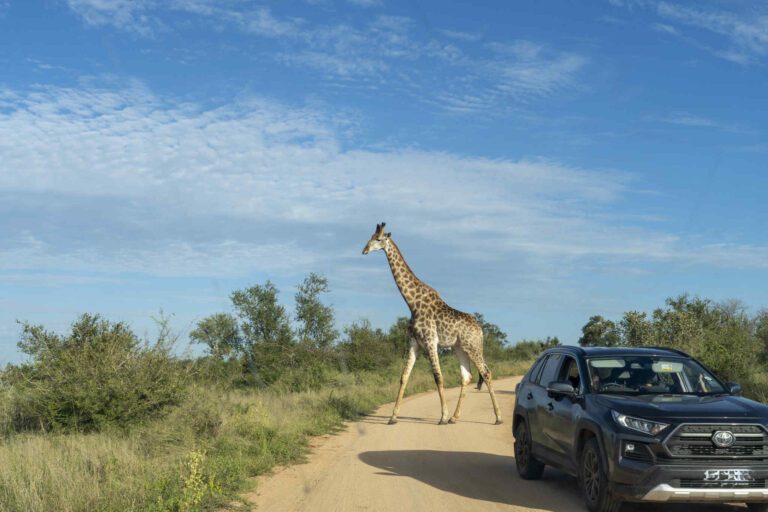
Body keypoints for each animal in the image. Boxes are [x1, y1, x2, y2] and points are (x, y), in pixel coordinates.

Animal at [362, 222, 503, 425]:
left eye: (379, 239)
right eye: (370, 237)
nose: (364, 250)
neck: (412, 302)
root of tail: (481, 330)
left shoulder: (430, 341)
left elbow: (438, 377)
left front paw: (442, 416)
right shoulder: (414, 343)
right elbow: (404, 377)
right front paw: (393, 417)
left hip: (473, 346)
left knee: (486, 372)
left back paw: (497, 417)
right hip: (459, 348)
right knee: (466, 376)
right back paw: (454, 417)